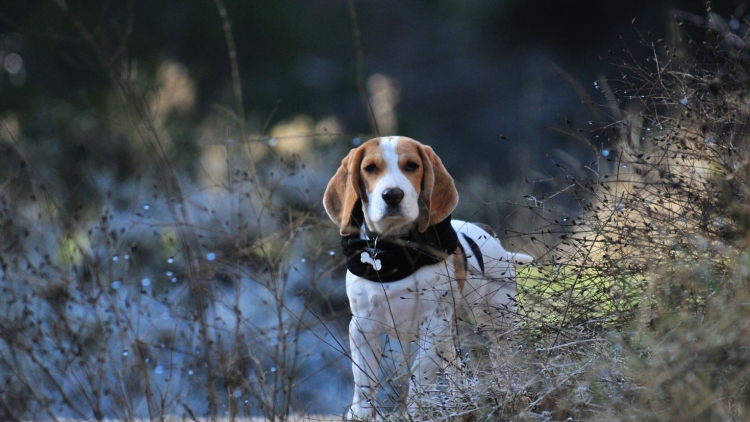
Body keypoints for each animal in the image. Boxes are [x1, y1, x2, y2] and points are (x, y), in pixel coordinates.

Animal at [324, 136, 536, 418]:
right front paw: (360, 415)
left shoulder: (433, 323)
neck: (394, 253)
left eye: (411, 166)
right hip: (450, 336)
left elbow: (420, 373)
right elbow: (364, 383)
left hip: (499, 322)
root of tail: (488, 234)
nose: (392, 195)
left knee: (505, 359)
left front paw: (416, 412)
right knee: (457, 371)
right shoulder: (363, 327)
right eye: (370, 168)